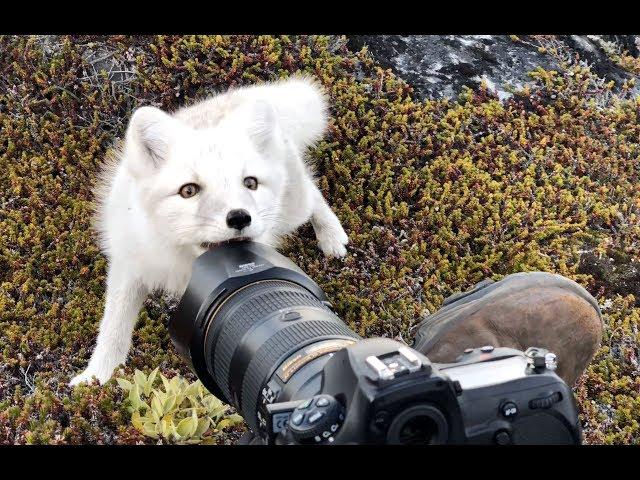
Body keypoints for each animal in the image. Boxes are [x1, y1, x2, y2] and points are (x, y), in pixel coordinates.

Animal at [69, 77, 348, 388]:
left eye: (250, 183)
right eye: (188, 190)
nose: (239, 217)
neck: (185, 259)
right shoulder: (129, 267)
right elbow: (113, 329)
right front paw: (95, 378)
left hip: (293, 210)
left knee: (313, 192)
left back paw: (331, 236)